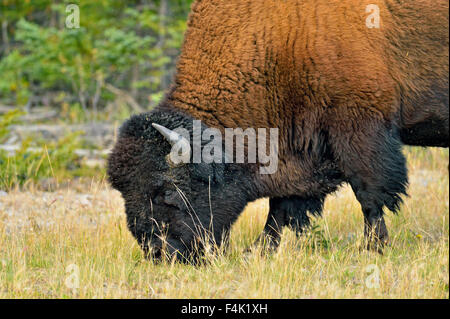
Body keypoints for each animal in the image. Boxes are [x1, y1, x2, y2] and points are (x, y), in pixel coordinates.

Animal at [107, 0, 448, 262]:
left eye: (167, 190)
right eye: (124, 192)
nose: (159, 253)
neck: (282, 38)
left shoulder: (359, 129)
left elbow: (369, 194)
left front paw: (373, 248)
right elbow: (281, 208)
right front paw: (258, 252)